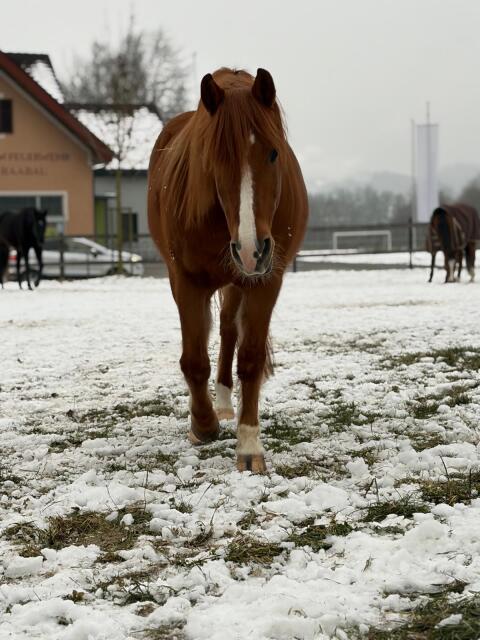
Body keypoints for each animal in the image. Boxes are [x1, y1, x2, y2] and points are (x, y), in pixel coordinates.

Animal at [148, 67, 308, 473]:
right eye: (215, 157)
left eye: (273, 152)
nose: (253, 249)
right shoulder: (186, 282)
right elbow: (193, 360)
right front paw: (202, 424)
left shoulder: (266, 281)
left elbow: (249, 359)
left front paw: (249, 445)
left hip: (241, 279)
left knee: (227, 331)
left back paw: (223, 404)